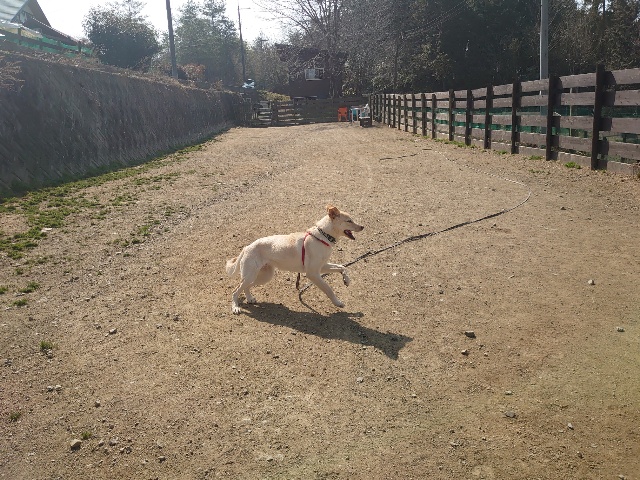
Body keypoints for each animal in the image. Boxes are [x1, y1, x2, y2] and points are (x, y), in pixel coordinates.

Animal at [226, 205, 364, 314]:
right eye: (349, 221)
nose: (362, 227)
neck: (323, 236)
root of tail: (247, 247)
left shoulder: (322, 266)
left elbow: (342, 267)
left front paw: (346, 280)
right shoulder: (313, 274)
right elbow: (328, 289)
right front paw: (338, 303)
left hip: (263, 276)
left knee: (246, 287)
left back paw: (249, 298)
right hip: (251, 275)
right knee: (235, 290)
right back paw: (235, 307)